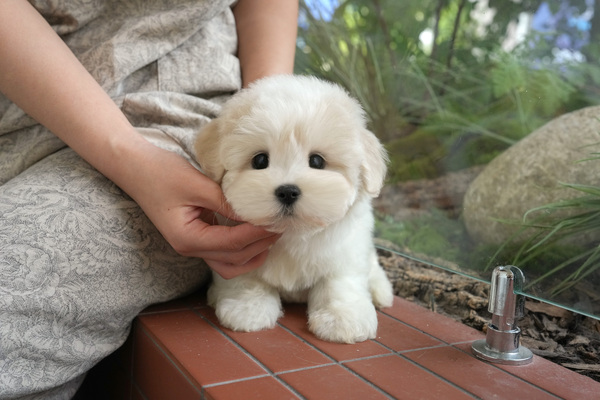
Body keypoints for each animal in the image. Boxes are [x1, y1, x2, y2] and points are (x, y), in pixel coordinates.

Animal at [194, 75, 393, 343]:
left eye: (317, 161)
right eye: (260, 160)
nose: (287, 191)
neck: (293, 232)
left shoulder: (346, 251)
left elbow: (340, 283)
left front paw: (342, 318)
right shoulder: (238, 255)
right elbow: (246, 277)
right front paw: (247, 308)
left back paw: (381, 290)